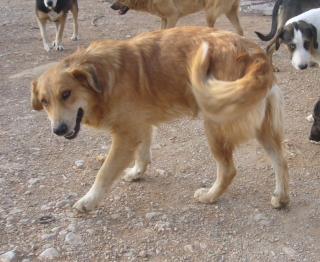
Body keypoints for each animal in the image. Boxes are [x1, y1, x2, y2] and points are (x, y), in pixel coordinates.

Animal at [31, 26, 290, 212]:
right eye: (44, 101)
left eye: (66, 94)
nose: (58, 129)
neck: (103, 77)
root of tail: (256, 56)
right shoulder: (139, 125)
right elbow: (143, 153)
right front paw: (137, 172)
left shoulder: (125, 135)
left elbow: (104, 172)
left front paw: (88, 201)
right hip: (263, 128)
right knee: (280, 160)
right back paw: (281, 198)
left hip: (214, 125)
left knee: (228, 170)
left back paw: (209, 196)